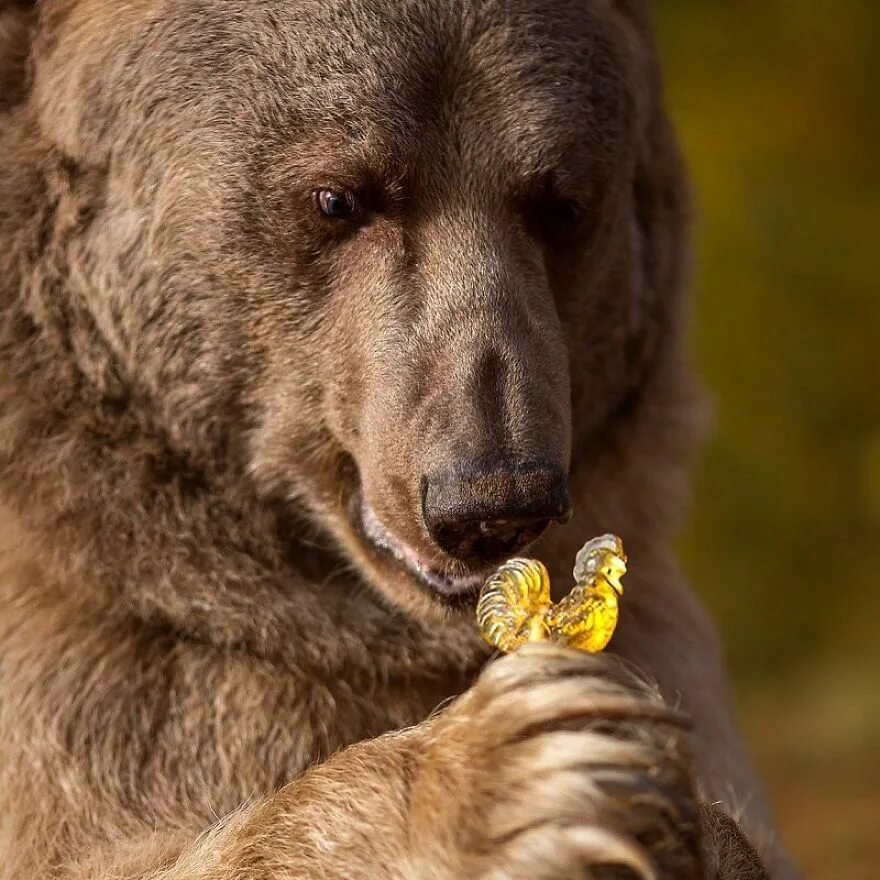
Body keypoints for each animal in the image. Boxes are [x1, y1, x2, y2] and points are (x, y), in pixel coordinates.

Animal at [0, 0, 796, 876]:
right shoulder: (99, 685)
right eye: (337, 196)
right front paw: (512, 770)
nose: (493, 498)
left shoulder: (662, 627)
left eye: (561, 203)